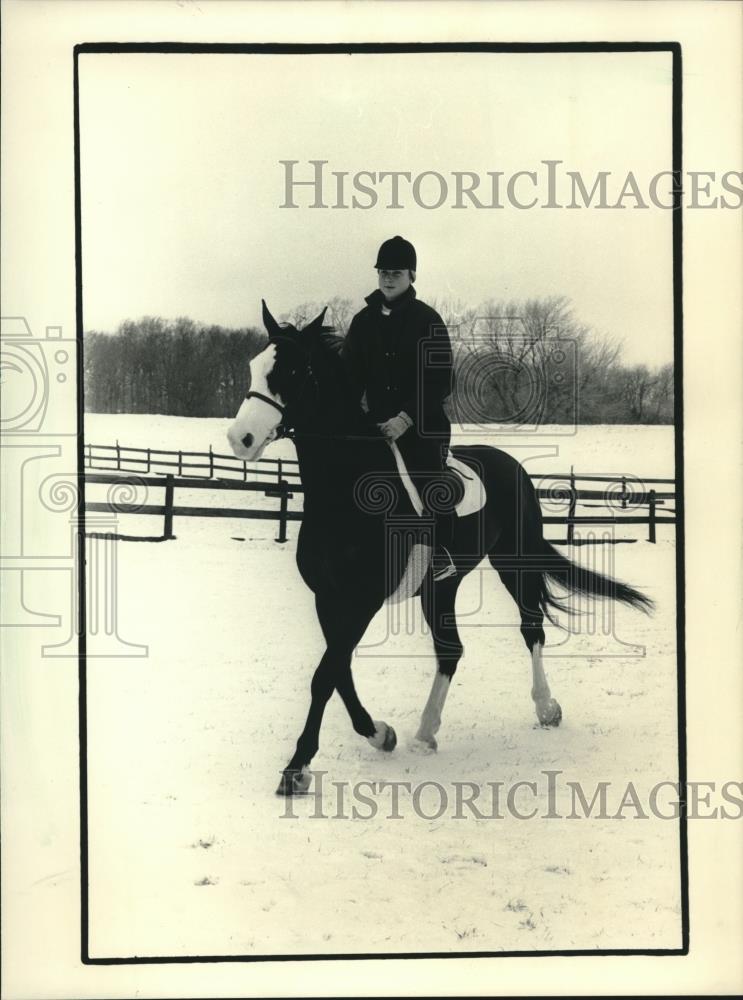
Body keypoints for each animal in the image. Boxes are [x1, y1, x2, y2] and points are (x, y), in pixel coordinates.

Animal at [225, 300, 652, 792]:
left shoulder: (363, 600)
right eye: (254, 367)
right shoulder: (329, 598)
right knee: (451, 649)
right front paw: (380, 734)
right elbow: (339, 671)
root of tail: (511, 465)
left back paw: (546, 709)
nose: (240, 440)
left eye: (294, 371)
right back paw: (425, 732)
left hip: (514, 563)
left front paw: (297, 767)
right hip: (440, 585)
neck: (344, 492)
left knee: (531, 630)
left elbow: (325, 675)